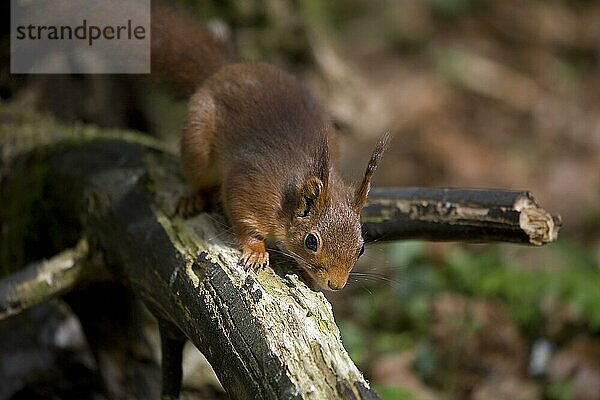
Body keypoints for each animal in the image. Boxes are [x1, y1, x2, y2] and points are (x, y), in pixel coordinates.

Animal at [151, 3, 390, 290]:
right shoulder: (250, 188)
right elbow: (243, 221)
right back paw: (194, 198)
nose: (336, 284)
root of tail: (230, 68)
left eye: (361, 247)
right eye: (311, 241)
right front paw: (255, 251)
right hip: (197, 144)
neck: (290, 198)